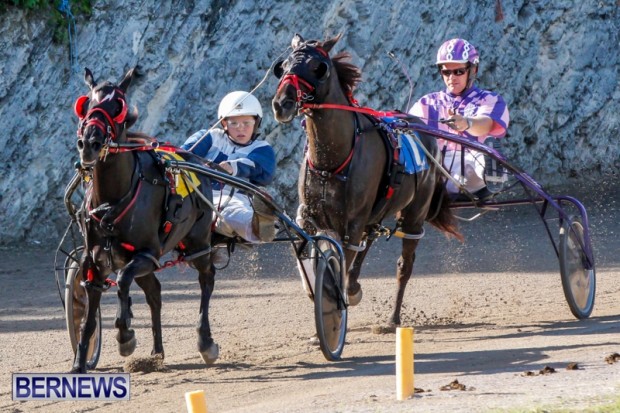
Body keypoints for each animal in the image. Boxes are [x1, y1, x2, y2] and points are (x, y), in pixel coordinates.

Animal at [71, 67, 219, 372]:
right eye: (86, 105)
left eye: (118, 107)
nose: (89, 142)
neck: (112, 201)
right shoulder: (96, 262)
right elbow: (90, 312)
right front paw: (80, 362)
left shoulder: (147, 254)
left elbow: (123, 280)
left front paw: (125, 335)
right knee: (155, 293)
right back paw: (157, 352)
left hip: (198, 243)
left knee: (206, 278)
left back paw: (205, 341)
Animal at [272, 34, 462, 329]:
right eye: (283, 66)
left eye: (318, 67)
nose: (283, 103)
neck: (332, 160)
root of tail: (420, 126)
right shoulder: (309, 217)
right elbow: (309, 262)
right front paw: (323, 297)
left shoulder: (351, 224)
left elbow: (344, 261)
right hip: (376, 213)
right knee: (368, 242)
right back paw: (354, 288)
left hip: (413, 215)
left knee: (403, 264)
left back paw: (392, 319)